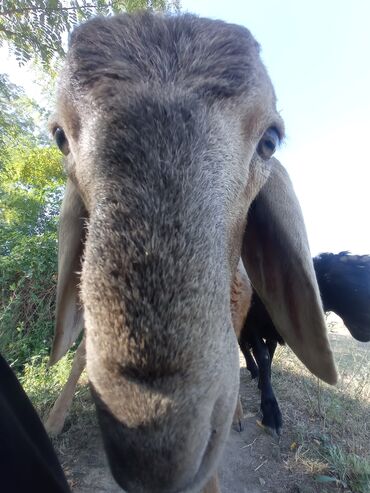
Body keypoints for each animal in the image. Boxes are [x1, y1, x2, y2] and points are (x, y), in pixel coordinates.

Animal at [238, 252, 370, 432]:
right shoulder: (252, 324)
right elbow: (263, 357)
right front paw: (270, 409)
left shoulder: (273, 333)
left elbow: (269, 355)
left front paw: (264, 382)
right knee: (242, 346)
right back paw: (252, 369)